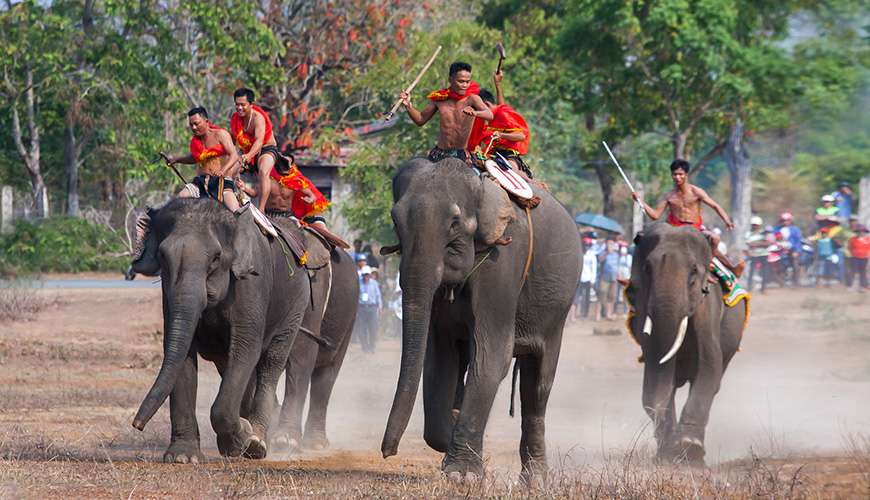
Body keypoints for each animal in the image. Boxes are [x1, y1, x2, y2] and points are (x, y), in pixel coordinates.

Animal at [133, 197, 314, 462]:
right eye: (162, 257)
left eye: (216, 258)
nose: (136, 425)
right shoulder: (169, 294)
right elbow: (180, 353)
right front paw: (183, 457)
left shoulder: (251, 285)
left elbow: (246, 349)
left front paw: (243, 439)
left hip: (296, 303)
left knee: (272, 361)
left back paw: (258, 442)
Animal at [270, 247, 358, 454]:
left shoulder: (315, 287)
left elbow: (303, 352)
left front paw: (284, 442)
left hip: (349, 320)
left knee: (326, 375)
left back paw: (314, 443)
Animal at [380, 158, 580, 478]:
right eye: (395, 221)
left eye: (454, 223)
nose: (388, 452)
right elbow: (440, 357)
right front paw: (454, 437)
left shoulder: (504, 259)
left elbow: (491, 353)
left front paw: (462, 475)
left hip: (558, 308)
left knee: (537, 384)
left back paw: (536, 479)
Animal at [628, 223, 748, 464]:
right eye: (647, 269)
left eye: (694, 271)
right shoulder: (642, 303)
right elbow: (656, 371)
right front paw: (668, 453)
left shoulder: (708, 304)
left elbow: (709, 364)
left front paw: (689, 447)